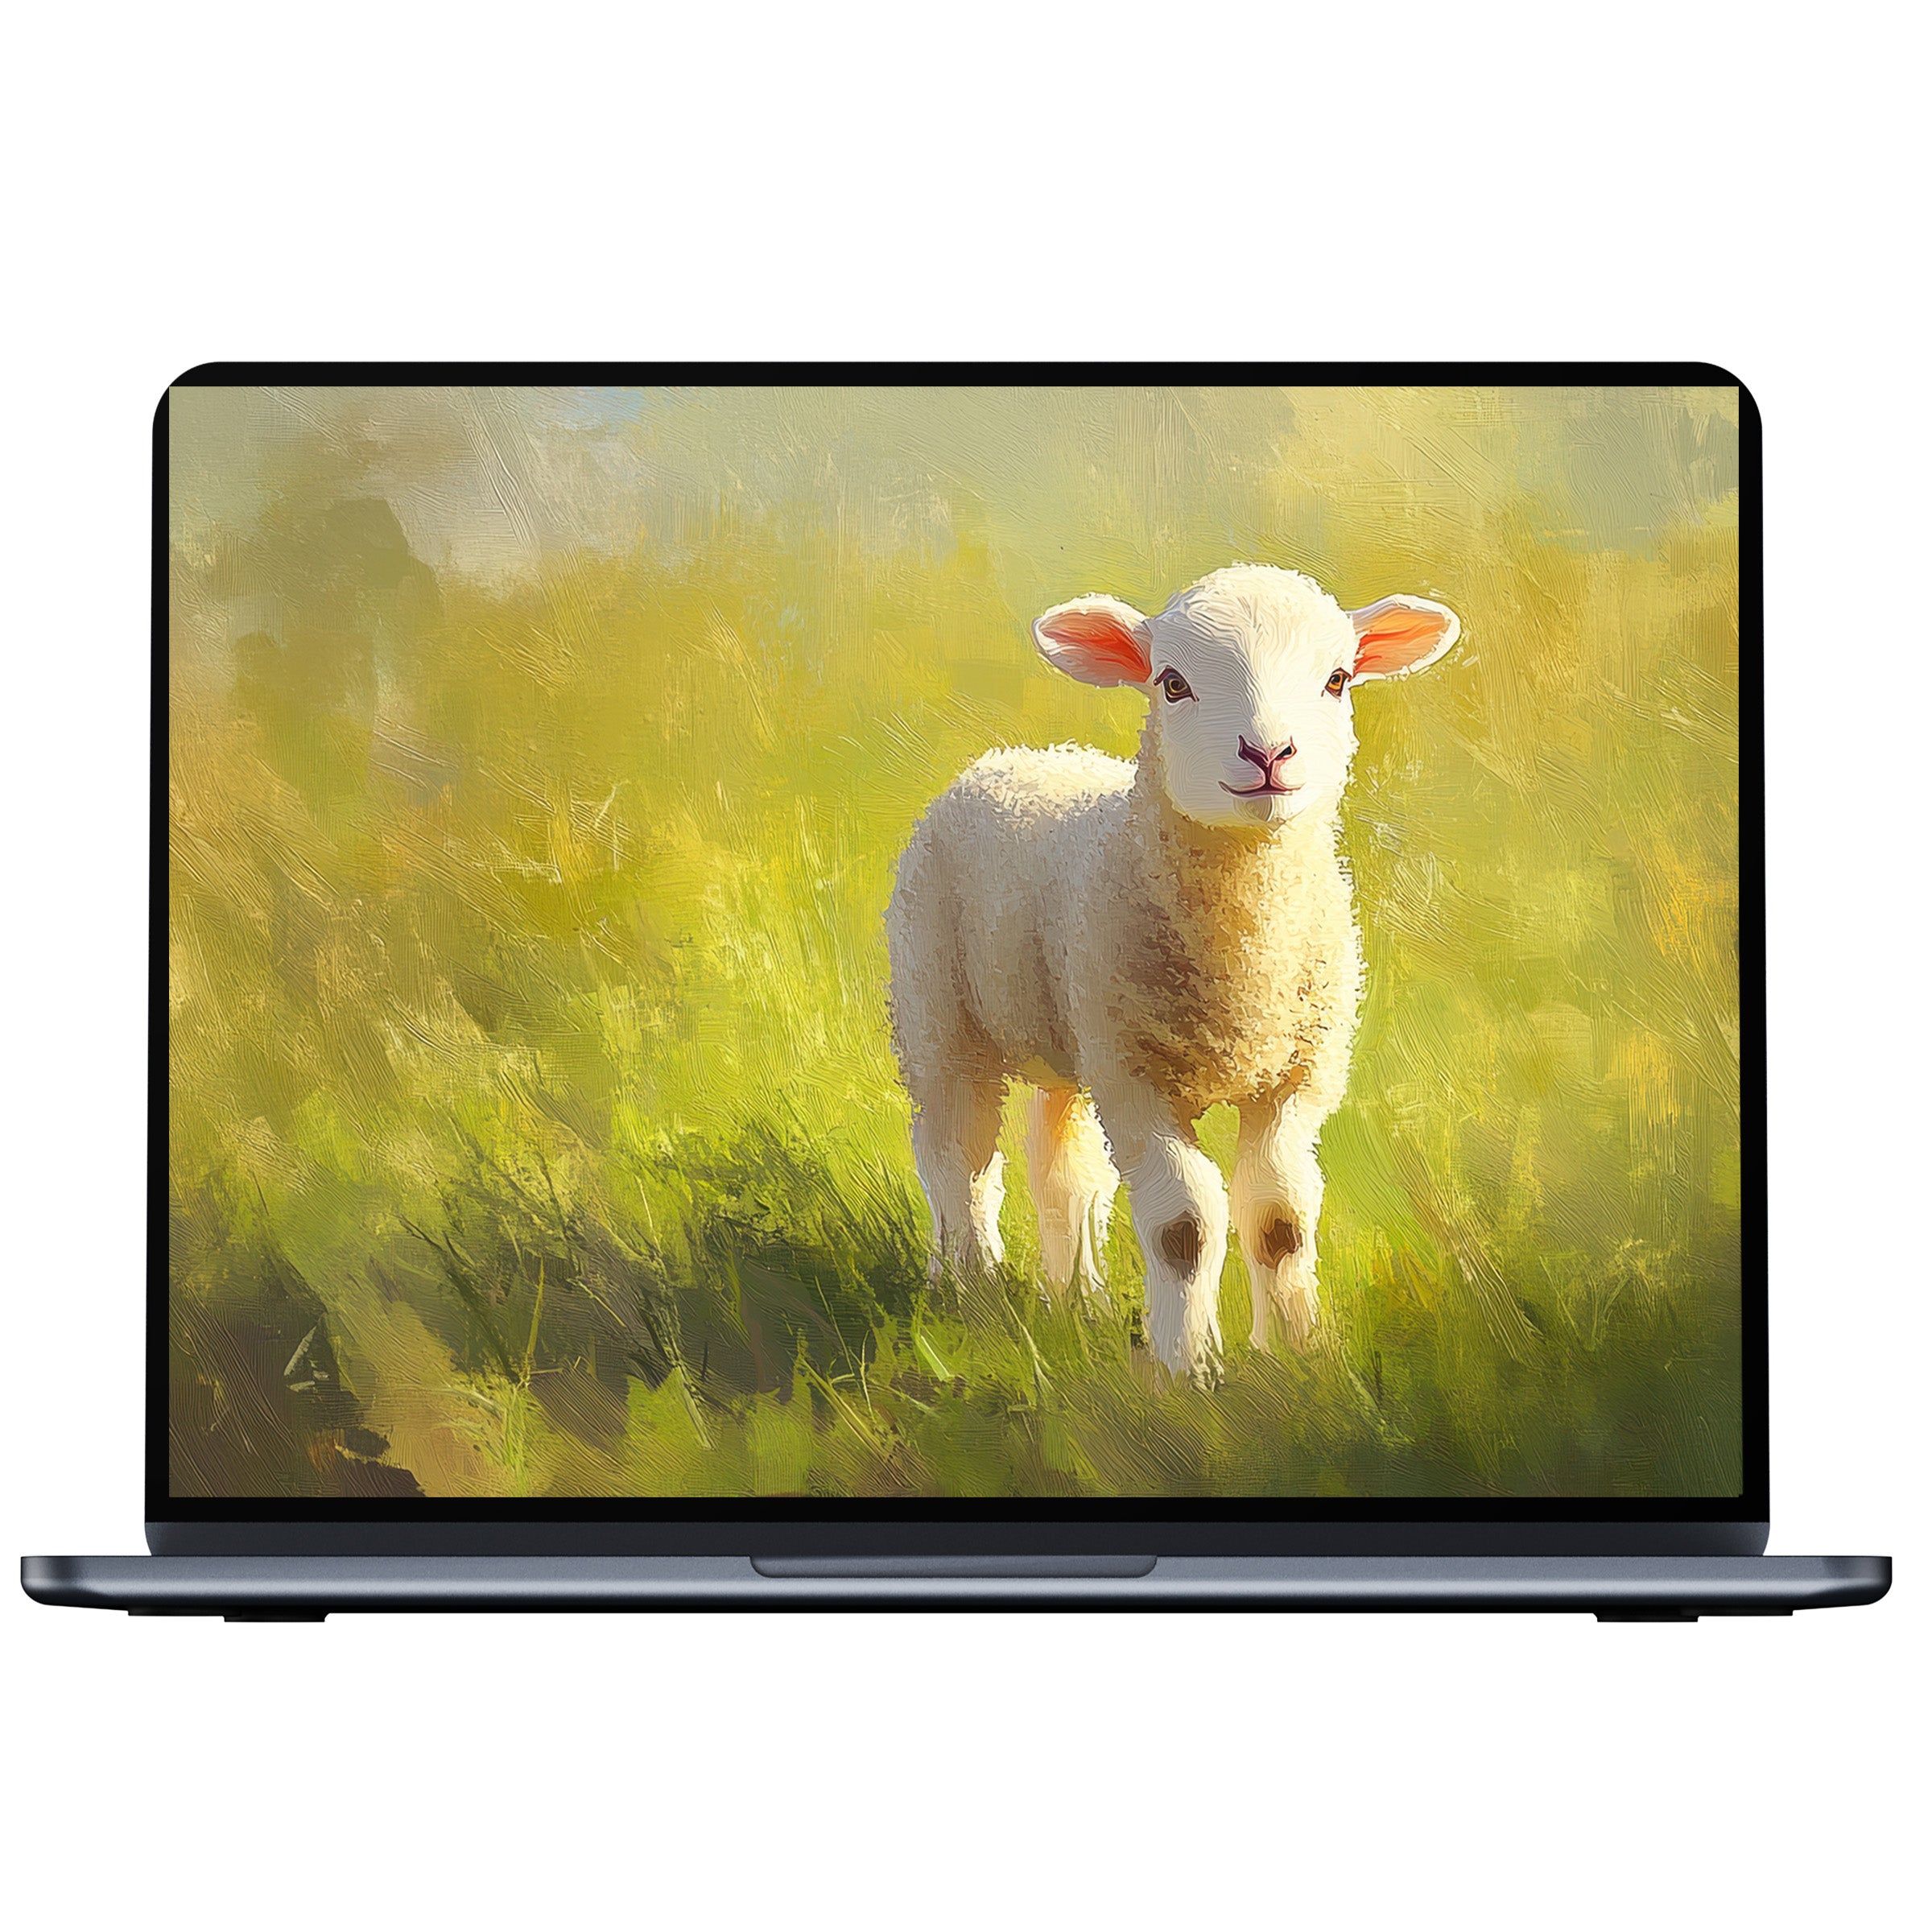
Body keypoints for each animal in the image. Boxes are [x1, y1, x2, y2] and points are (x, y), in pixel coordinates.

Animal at [884, 564, 1460, 1383]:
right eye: (1173, 683)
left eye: (1338, 679)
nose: (1268, 754)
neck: (1244, 974)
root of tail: (1015, 756)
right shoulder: (1137, 1077)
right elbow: (1184, 1225)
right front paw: (1188, 1370)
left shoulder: (1298, 1074)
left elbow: (1279, 1217)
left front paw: (1300, 1356)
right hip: (940, 1010)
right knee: (957, 1160)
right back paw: (971, 1293)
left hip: (1073, 1031)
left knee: (1062, 1167)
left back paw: (1078, 1300)